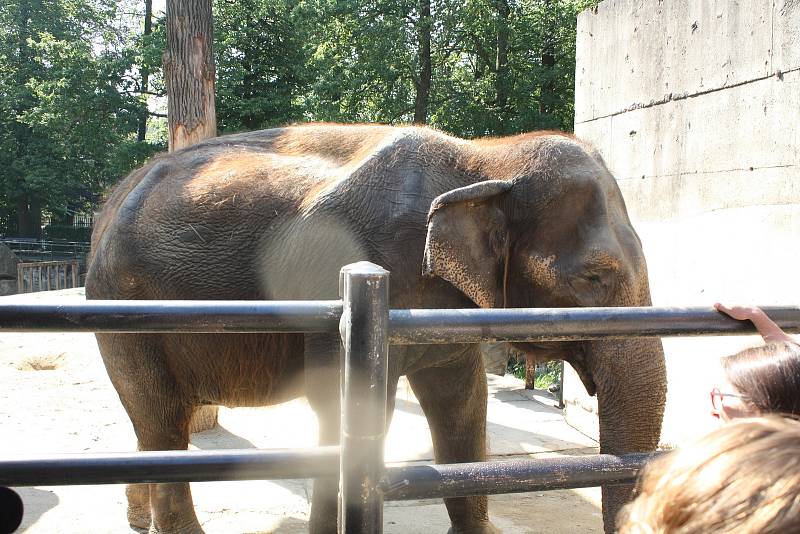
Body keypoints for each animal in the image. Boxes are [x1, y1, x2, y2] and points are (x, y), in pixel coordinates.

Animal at [86, 124, 668, 534]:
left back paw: (138, 519)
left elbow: (463, 402)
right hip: (126, 312)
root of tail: (111, 200)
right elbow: (351, 410)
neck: (484, 157)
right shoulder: (351, 273)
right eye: (595, 278)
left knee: (156, 422)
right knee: (162, 420)